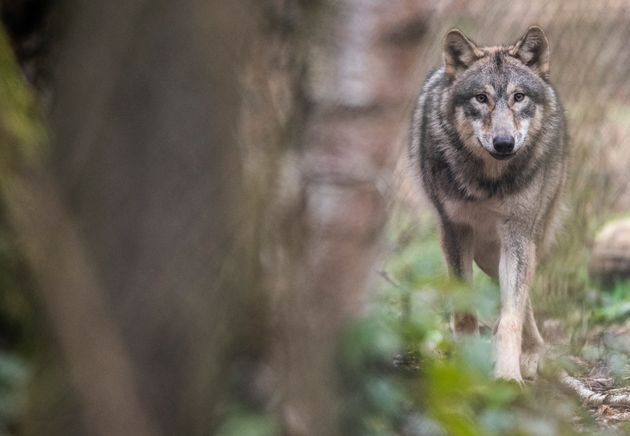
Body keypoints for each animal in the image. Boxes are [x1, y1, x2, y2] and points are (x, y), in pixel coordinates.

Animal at [412, 26, 572, 382]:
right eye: (480, 98)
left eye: (518, 97)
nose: (503, 143)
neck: (489, 182)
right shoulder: (454, 231)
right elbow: (464, 311)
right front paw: (465, 369)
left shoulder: (517, 236)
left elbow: (512, 315)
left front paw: (507, 377)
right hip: (486, 253)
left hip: (521, 243)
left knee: (520, 302)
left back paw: (529, 356)